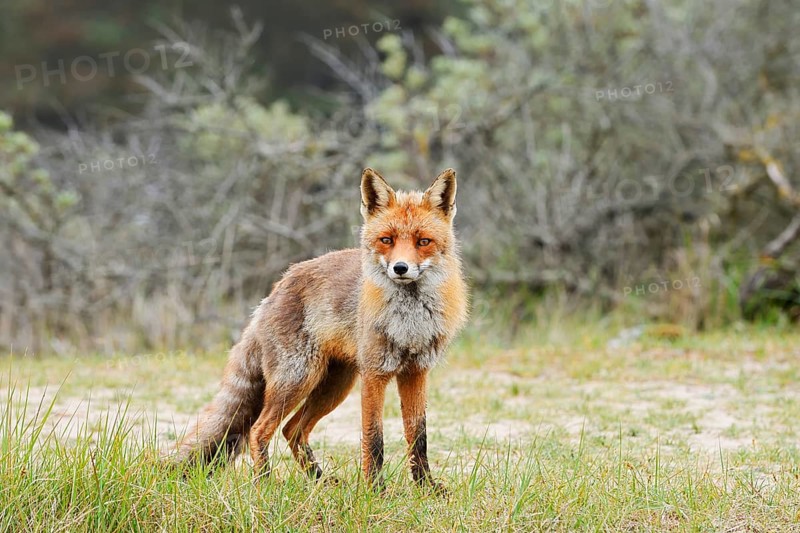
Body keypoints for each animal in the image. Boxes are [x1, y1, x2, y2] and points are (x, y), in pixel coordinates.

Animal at [172, 168, 468, 490]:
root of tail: (274, 290)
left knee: (292, 430)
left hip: (333, 386)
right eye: (386, 240)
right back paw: (266, 483)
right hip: (298, 379)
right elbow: (373, 437)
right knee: (260, 429)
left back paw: (320, 481)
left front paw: (426, 487)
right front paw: (374, 490)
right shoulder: (374, 374)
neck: (409, 320)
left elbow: (418, 435)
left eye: (423, 241)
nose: (400, 268)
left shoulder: (416, 372)